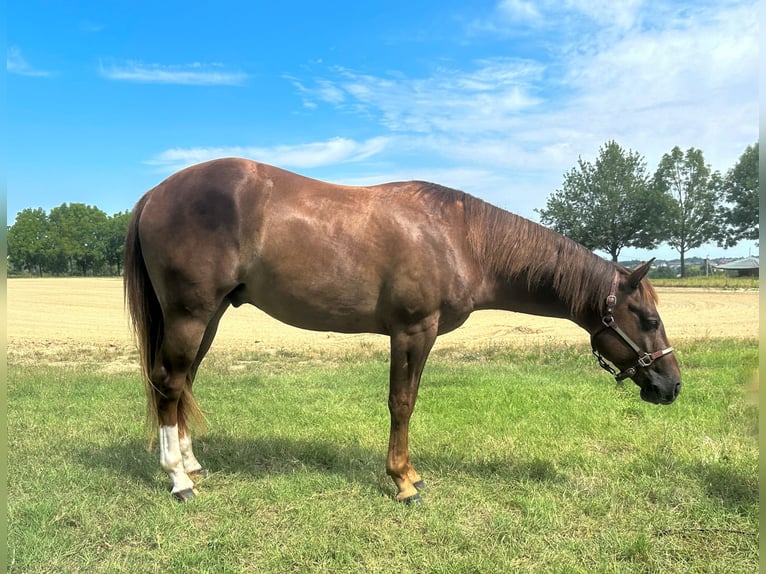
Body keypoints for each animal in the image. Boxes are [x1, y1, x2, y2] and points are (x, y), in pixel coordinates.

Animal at [124, 158, 681, 504]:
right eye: (649, 320)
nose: (671, 385)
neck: (460, 238)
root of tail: (154, 194)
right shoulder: (414, 331)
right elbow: (402, 402)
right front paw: (403, 481)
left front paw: (408, 474)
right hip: (190, 314)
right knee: (170, 384)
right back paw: (178, 480)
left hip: (210, 316)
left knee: (184, 382)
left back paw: (192, 464)